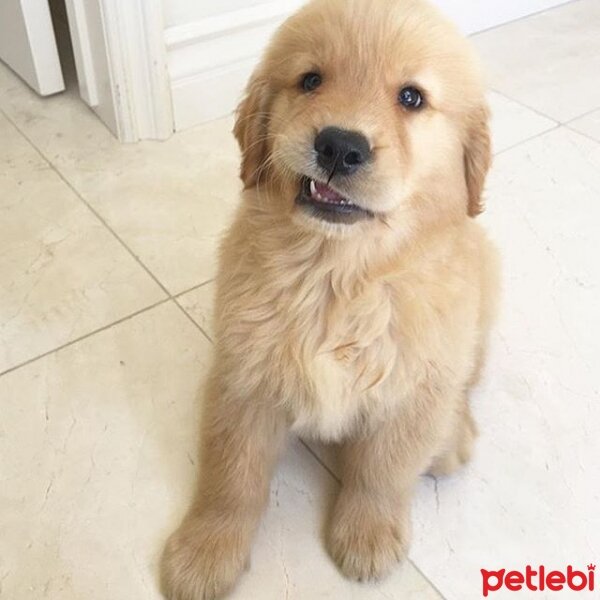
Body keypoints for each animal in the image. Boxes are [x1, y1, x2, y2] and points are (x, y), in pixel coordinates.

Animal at [162, 0, 500, 596]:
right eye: (311, 80)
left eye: (411, 97)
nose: (340, 146)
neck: (337, 276)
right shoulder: (243, 377)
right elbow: (231, 474)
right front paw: (206, 550)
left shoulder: (410, 385)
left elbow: (383, 470)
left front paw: (367, 534)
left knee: (459, 385)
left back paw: (452, 434)